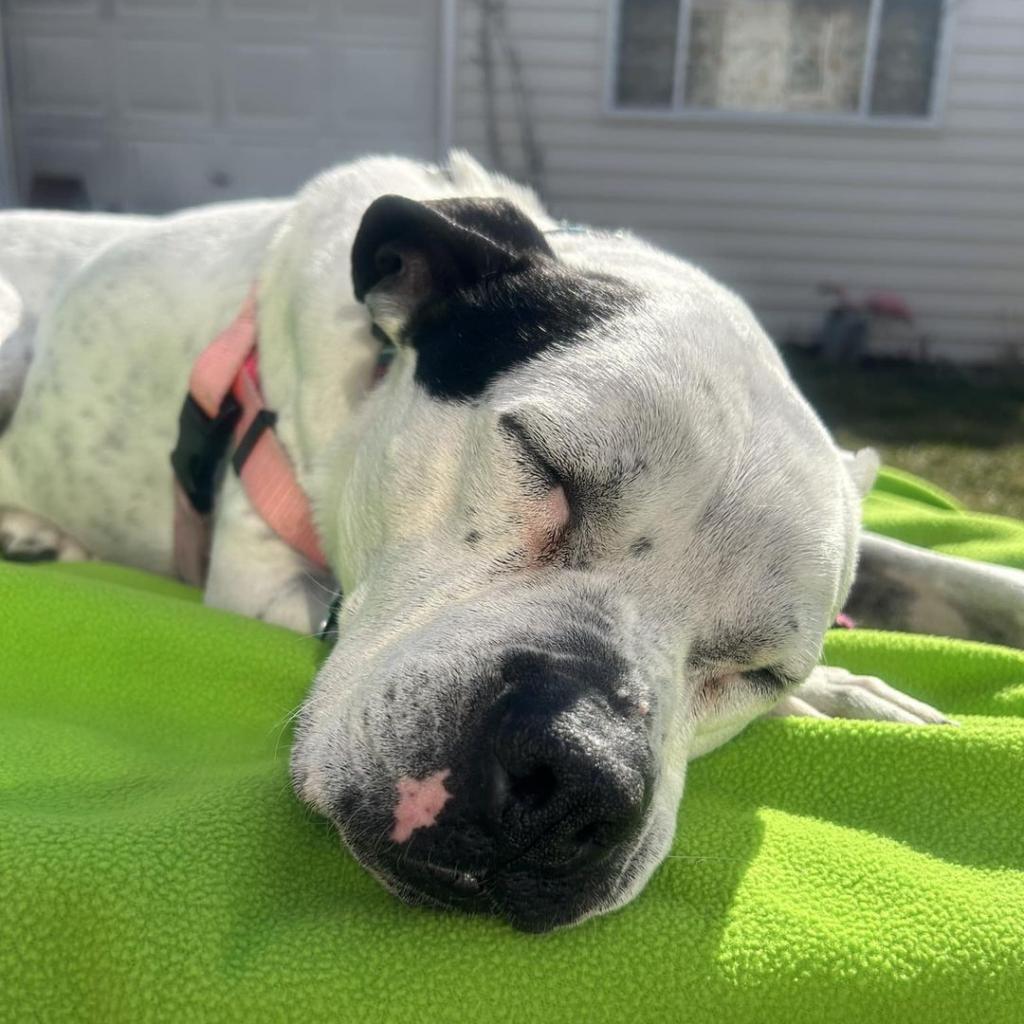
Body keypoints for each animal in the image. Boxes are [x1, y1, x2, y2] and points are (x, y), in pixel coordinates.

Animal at [2, 151, 1024, 929]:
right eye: (542, 462)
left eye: (762, 666)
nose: (575, 782)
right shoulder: (262, 582)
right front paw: (844, 695)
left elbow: (933, 570)